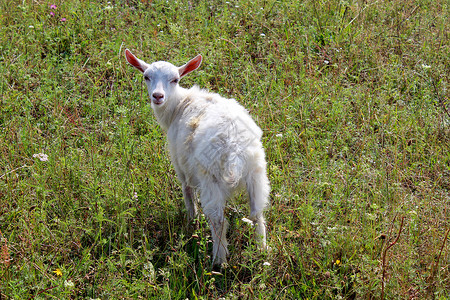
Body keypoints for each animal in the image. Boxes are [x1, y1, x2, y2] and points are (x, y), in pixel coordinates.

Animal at [125, 49, 268, 264]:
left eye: (175, 79)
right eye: (146, 77)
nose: (157, 96)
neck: (179, 105)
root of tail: (234, 149)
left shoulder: (179, 161)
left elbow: (186, 189)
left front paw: (191, 218)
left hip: (211, 178)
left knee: (218, 220)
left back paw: (219, 260)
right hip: (256, 171)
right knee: (257, 212)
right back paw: (262, 250)